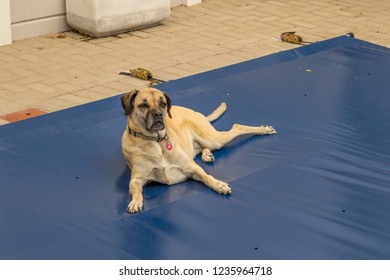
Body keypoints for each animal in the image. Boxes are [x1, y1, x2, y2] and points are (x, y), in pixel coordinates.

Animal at [120, 87, 276, 212]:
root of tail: (195, 112)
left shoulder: (191, 168)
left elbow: (207, 176)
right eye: (143, 105)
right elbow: (136, 190)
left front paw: (219, 185)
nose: (158, 114)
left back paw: (264, 130)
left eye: (162, 104)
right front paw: (135, 201)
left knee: (237, 127)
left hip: (213, 139)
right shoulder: (136, 179)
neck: (155, 141)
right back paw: (207, 154)